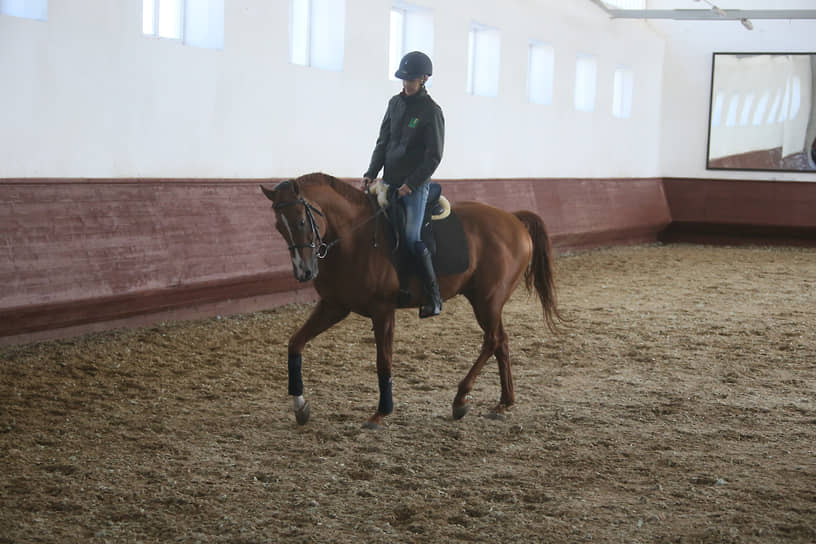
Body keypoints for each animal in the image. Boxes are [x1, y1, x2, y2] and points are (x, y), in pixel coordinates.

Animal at [262, 172, 560, 428]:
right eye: (278, 226)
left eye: (301, 221)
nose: (304, 272)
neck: (355, 238)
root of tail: (513, 219)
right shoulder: (334, 306)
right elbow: (295, 343)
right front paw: (300, 405)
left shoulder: (382, 310)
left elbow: (384, 361)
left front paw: (381, 413)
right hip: (488, 302)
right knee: (502, 341)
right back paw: (503, 403)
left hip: (487, 299)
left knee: (493, 340)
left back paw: (461, 398)